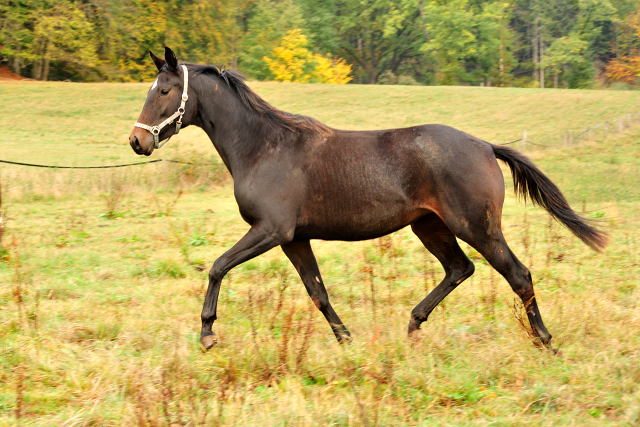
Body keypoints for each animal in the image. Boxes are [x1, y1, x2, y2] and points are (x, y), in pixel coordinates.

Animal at [129, 48, 604, 352]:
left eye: (164, 91)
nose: (137, 141)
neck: (265, 148)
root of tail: (486, 146)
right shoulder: (294, 239)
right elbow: (317, 292)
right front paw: (345, 339)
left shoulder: (270, 230)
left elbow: (217, 266)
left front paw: (208, 333)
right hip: (429, 225)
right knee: (459, 269)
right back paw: (413, 325)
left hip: (476, 227)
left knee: (517, 274)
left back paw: (545, 341)